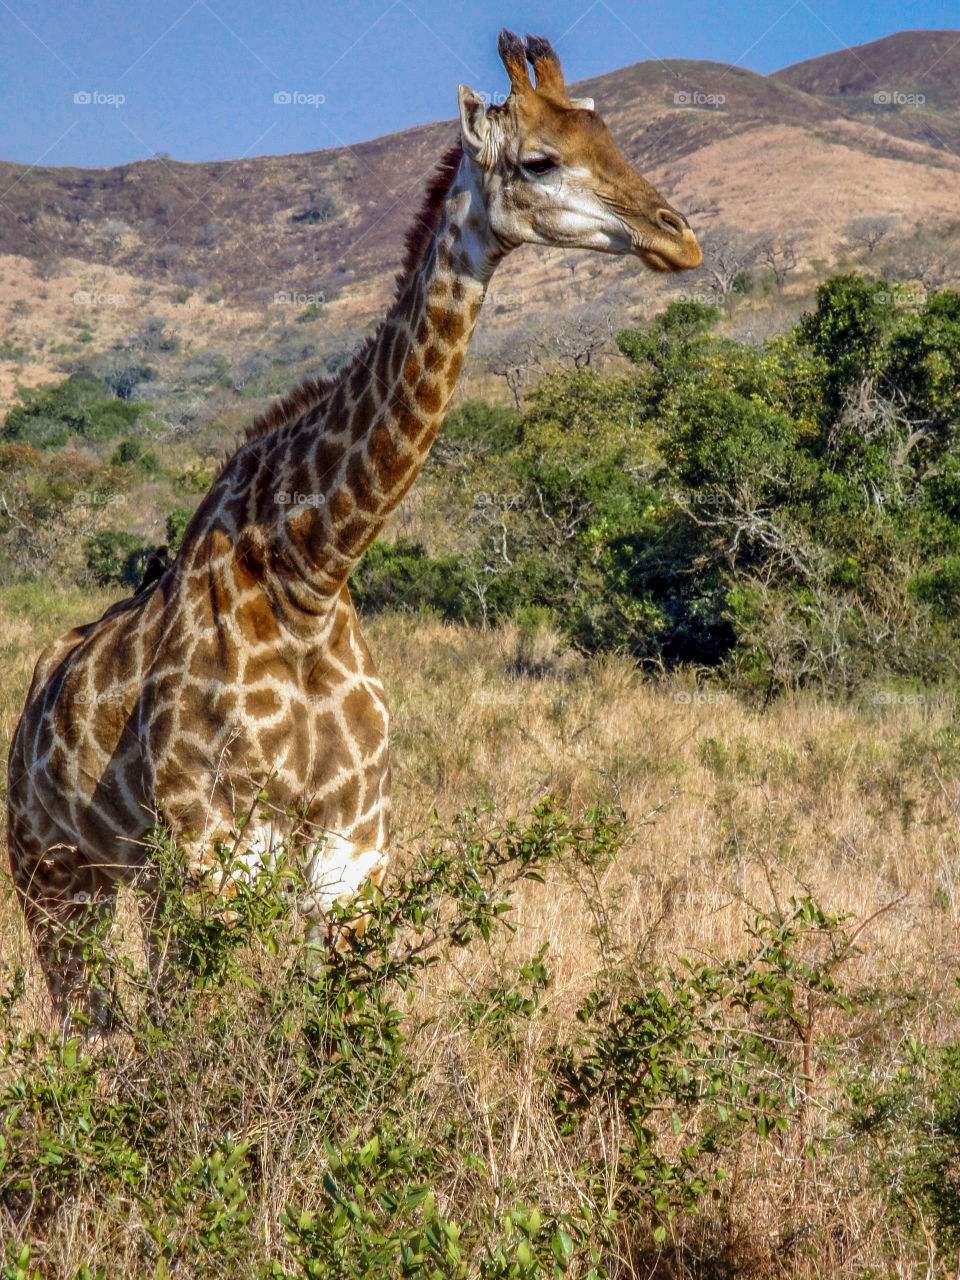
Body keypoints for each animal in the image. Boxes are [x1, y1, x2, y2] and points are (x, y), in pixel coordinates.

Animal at [7, 32, 706, 1029]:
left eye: (611, 137)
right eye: (540, 159)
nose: (678, 235)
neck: (309, 569)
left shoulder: (349, 852)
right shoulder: (213, 848)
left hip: (115, 881)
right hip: (52, 879)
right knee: (97, 1026)